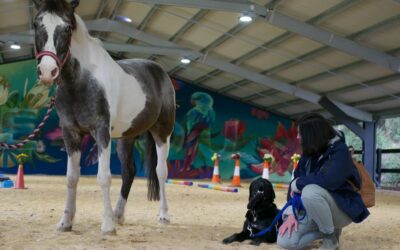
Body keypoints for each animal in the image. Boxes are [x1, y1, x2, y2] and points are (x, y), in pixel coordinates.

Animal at [33, 0, 177, 234]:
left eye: (67, 28)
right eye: (36, 24)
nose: (47, 71)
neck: (81, 81)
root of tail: (161, 73)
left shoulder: (101, 131)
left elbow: (104, 177)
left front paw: (107, 225)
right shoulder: (70, 133)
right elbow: (72, 177)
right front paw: (65, 222)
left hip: (162, 132)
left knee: (161, 171)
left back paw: (163, 216)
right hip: (126, 137)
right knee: (129, 171)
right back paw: (119, 214)